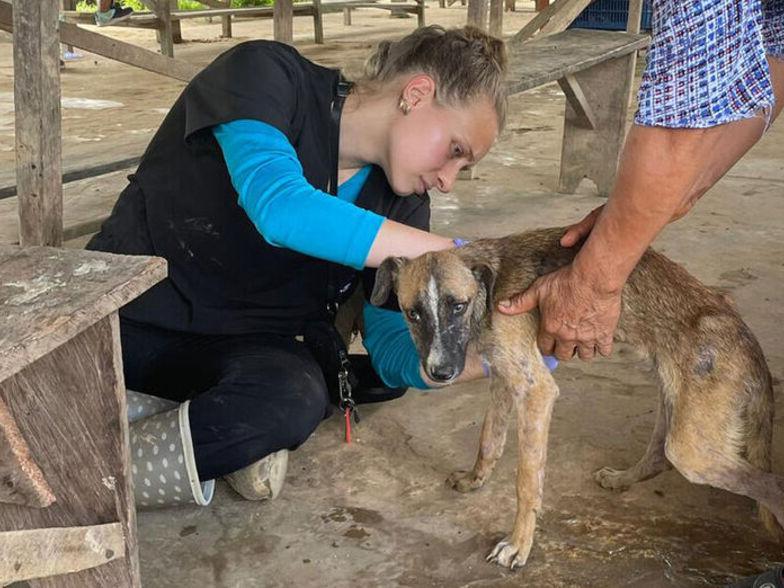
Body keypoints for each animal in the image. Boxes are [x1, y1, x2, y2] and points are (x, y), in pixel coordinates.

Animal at [370, 226, 784, 568]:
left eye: (457, 305)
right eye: (412, 313)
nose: (439, 372)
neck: (489, 291)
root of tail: (750, 344)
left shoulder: (536, 391)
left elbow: (526, 481)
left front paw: (518, 544)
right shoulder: (504, 378)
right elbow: (489, 440)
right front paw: (475, 480)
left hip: (693, 448)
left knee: (770, 485)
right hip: (676, 408)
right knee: (658, 457)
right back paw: (621, 479)